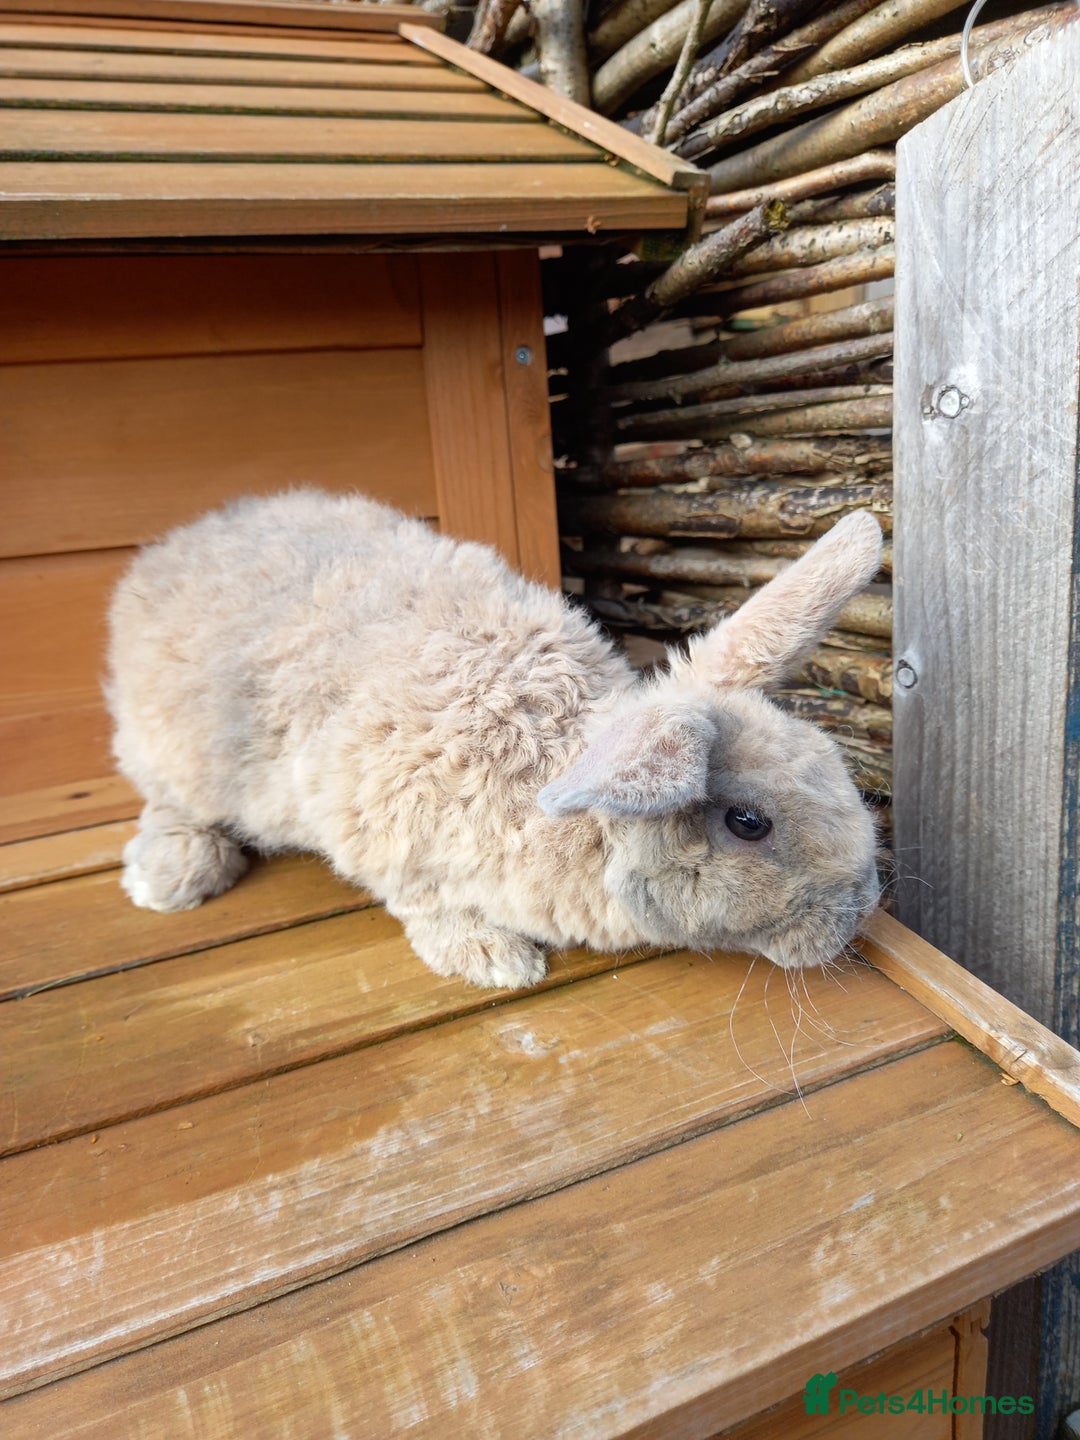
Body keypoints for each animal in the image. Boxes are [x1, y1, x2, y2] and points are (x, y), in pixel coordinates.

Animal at [106, 489, 883, 989]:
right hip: (173, 751)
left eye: (834, 763)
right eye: (749, 823)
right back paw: (169, 875)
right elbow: (420, 902)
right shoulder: (378, 832)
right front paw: (493, 958)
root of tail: (174, 544)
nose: (861, 910)